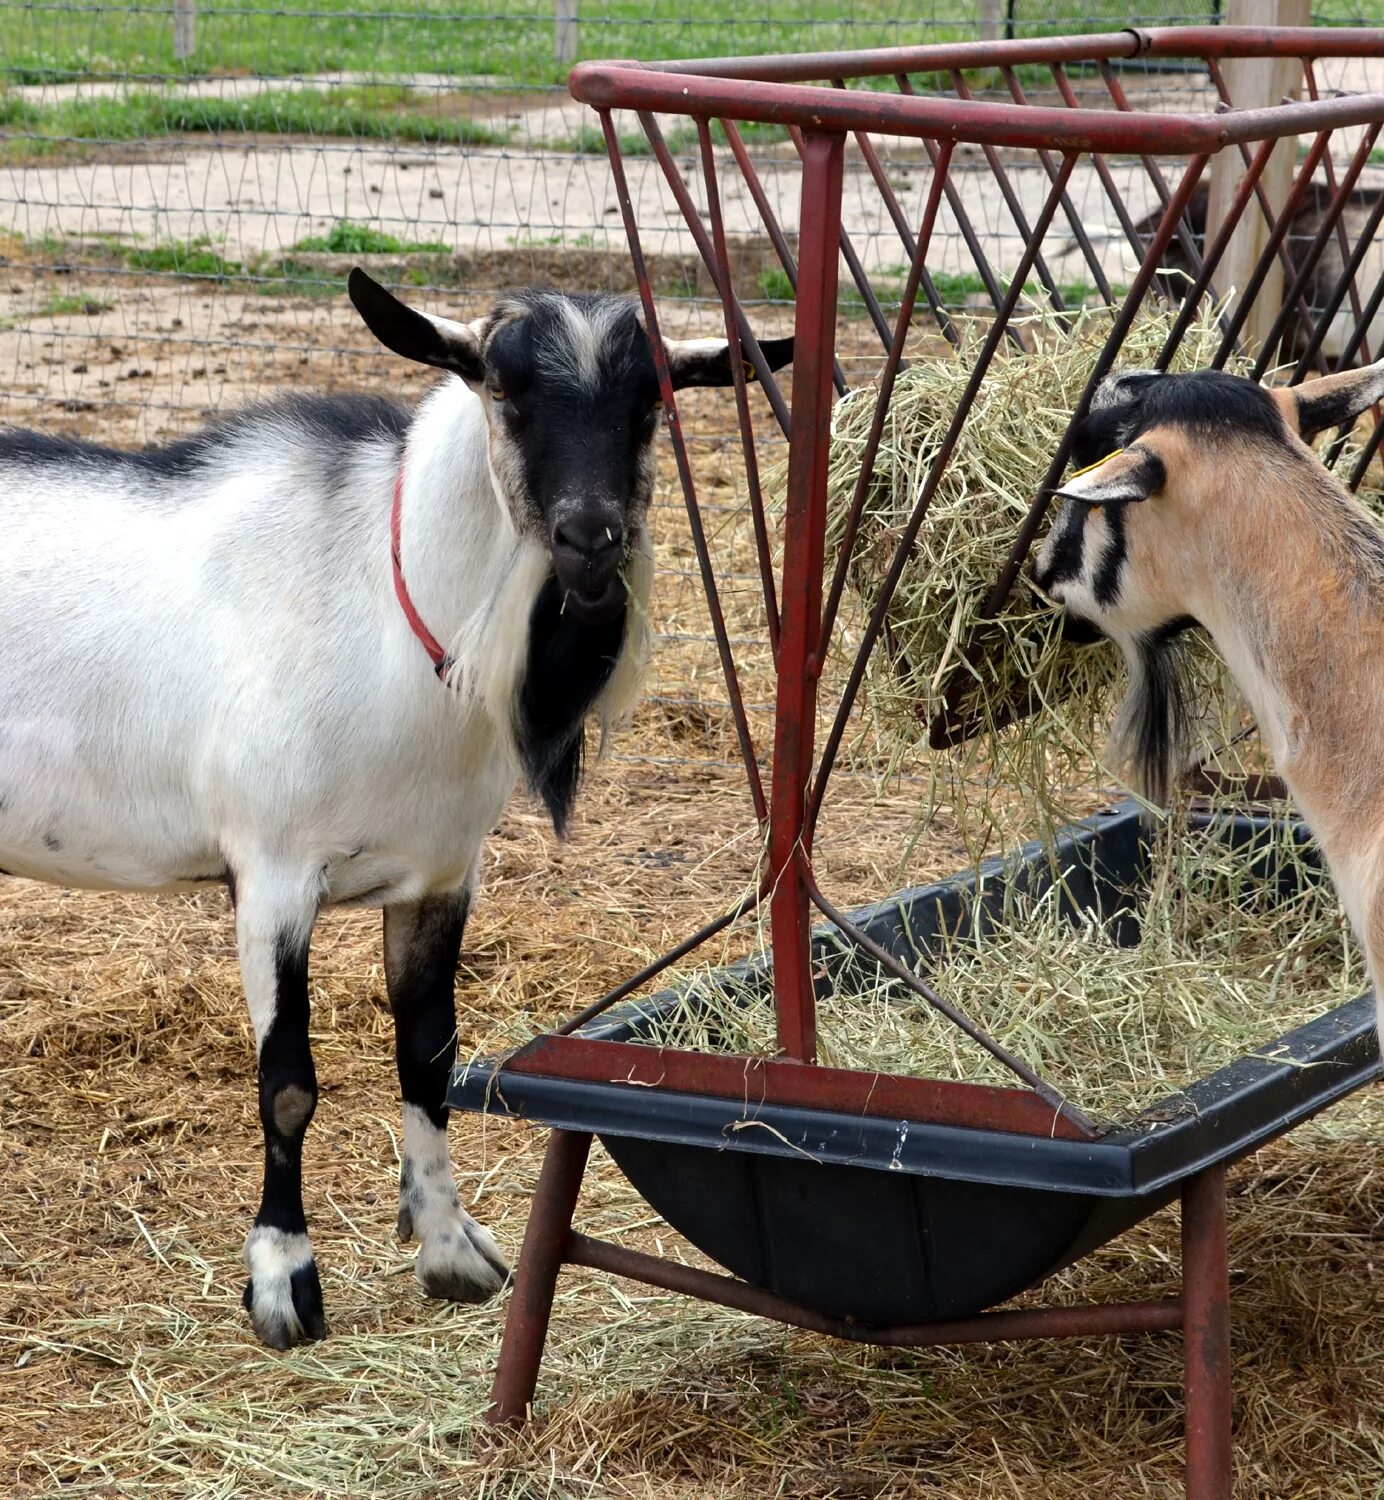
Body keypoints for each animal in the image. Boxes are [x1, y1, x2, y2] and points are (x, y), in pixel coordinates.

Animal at [0, 267, 797, 1350]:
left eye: (654, 401)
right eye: (503, 388)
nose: (591, 541)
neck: (378, 603)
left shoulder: (439, 876)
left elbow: (429, 1056)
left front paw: (452, 1249)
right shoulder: (273, 878)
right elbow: (288, 1085)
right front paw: (284, 1281)